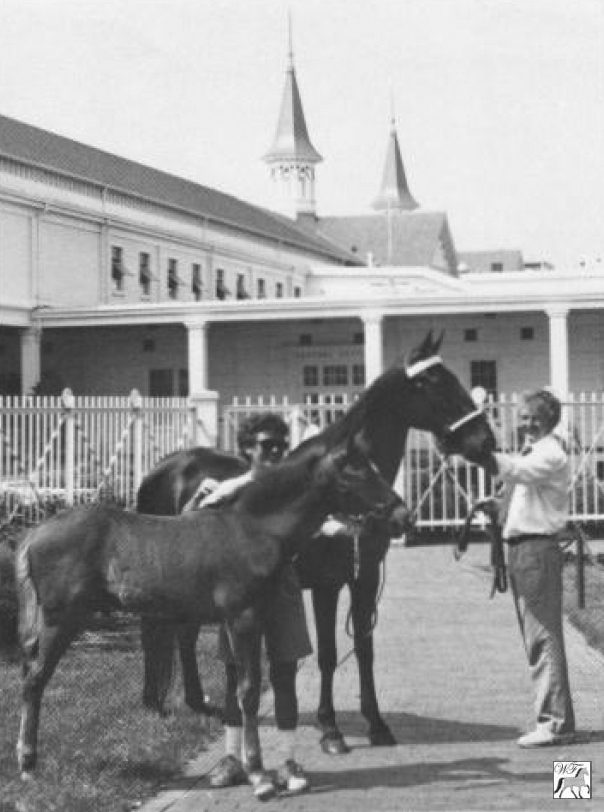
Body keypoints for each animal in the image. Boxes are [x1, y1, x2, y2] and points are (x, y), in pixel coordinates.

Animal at [15, 434, 406, 776]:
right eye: (358, 471)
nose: (401, 514)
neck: (251, 528)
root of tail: (35, 532)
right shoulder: (243, 617)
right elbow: (249, 690)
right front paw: (253, 764)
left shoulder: (254, 618)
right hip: (62, 620)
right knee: (35, 679)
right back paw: (28, 761)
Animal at [137, 330, 496, 756]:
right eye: (435, 383)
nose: (485, 442)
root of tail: (165, 468)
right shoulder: (328, 584)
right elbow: (327, 655)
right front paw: (331, 729)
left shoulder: (363, 579)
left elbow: (364, 649)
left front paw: (377, 724)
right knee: (159, 631)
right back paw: (155, 704)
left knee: (185, 633)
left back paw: (198, 702)